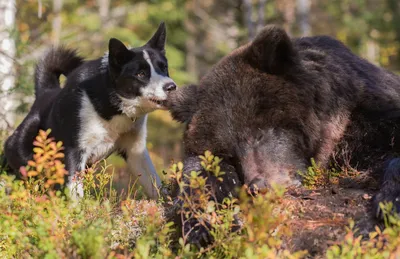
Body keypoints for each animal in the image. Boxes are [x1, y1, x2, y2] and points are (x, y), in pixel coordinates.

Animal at [3, 22, 175, 199]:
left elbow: (154, 182)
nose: (171, 87)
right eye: (141, 74)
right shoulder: (75, 150)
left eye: (164, 67)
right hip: (26, 154)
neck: (113, 104)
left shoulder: (135, 150)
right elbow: (75, 190)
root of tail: (45, 92)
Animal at [167, 25, 400, 247]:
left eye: (258, 133)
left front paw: (385, 205)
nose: (259, 186)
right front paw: (201, 226)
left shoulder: (368, 115)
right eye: (230, 154)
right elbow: (199, 173)